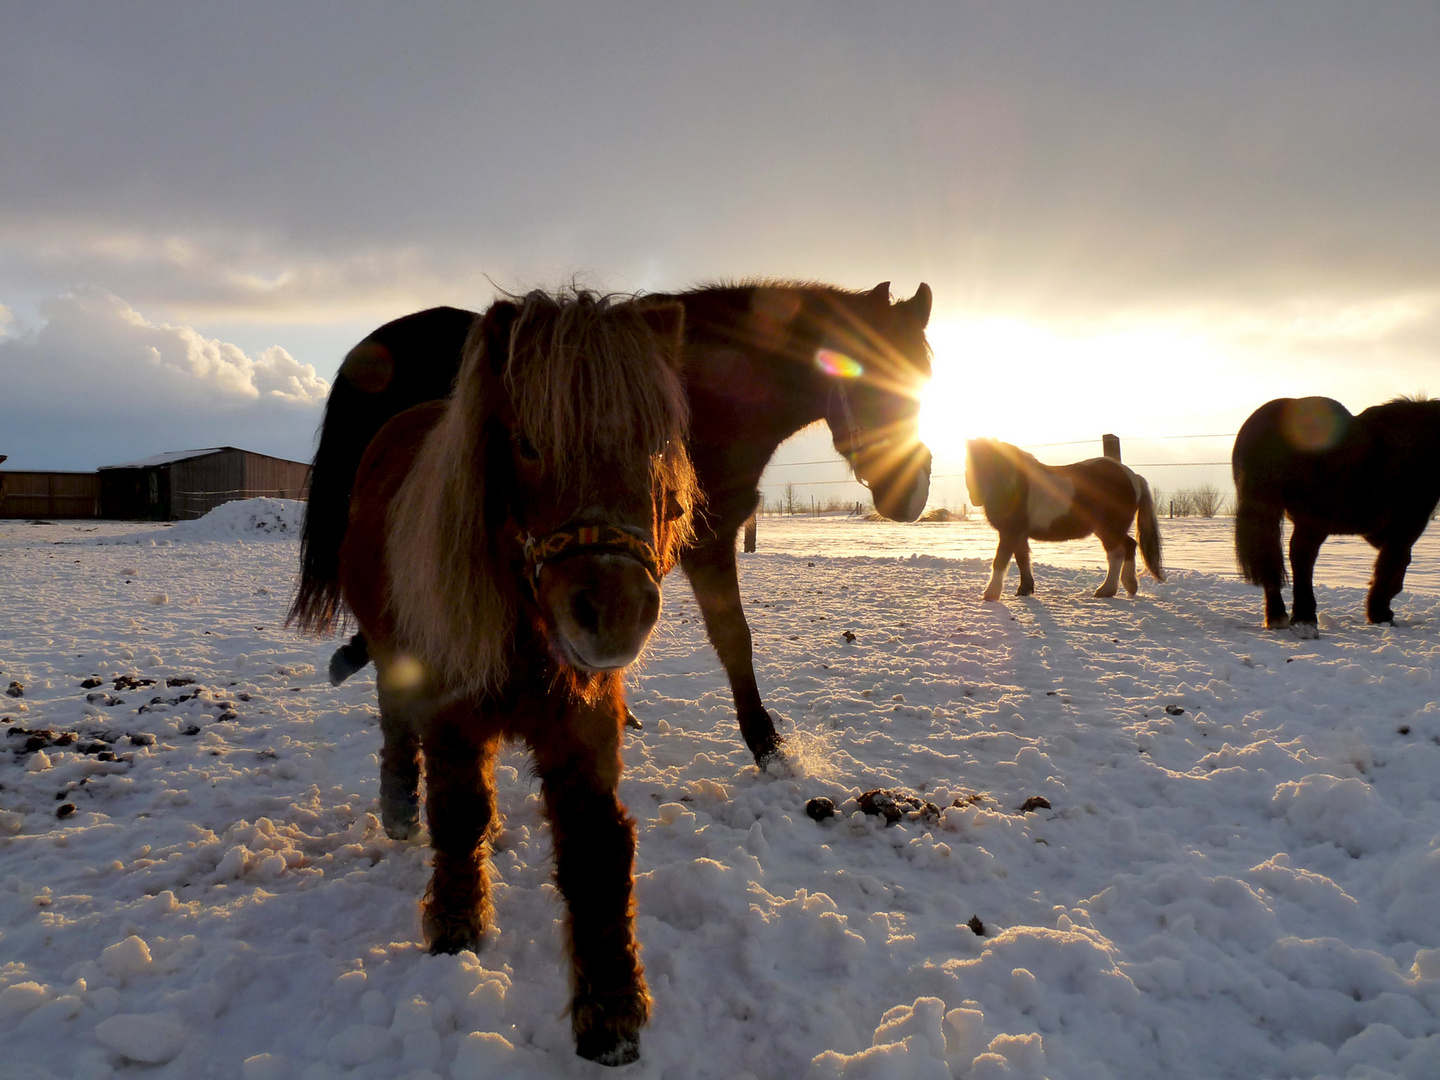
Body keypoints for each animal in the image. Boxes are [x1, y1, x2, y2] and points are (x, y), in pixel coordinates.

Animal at [289, 279, 933, 771]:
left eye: (924, 381)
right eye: (867, 380)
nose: (913, 493)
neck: (713, 393)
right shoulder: (706, 543)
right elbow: (734, 638)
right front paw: (765, 743)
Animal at [321, 292, 696, 1071]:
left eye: (654, 445)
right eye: (526, 443)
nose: (613, 612)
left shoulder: (584, 729)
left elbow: (597, 848)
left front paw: (611, 1011)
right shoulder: (450, 713)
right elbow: (457, 812)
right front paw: (455, 929)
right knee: (395, 726)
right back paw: (397, 807)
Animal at [961, 437, 1163, 601]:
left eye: (990, 463)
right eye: (968, 463)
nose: (976, 497)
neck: (1015, 484)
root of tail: (1133, 476)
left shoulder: (1010, 532)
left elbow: (1000, 560)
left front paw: (991, 594)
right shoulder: (1018, 533)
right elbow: (1022, 559)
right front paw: (1024, 590)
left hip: (1110, 528)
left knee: (1116, 553)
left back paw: (1106, 590)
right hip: (1107, 529)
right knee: (1129, 545)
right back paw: (1130, 586)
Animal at [1232, 394, 1440, 633]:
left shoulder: (1379, 530)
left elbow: (1395, 562)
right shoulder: (1406, 524)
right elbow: (1391, 564)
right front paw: (1379, 613)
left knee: (1270, 558)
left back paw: (1278, 617)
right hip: (1314, 519)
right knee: (1302, 555)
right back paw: (1304, 618)